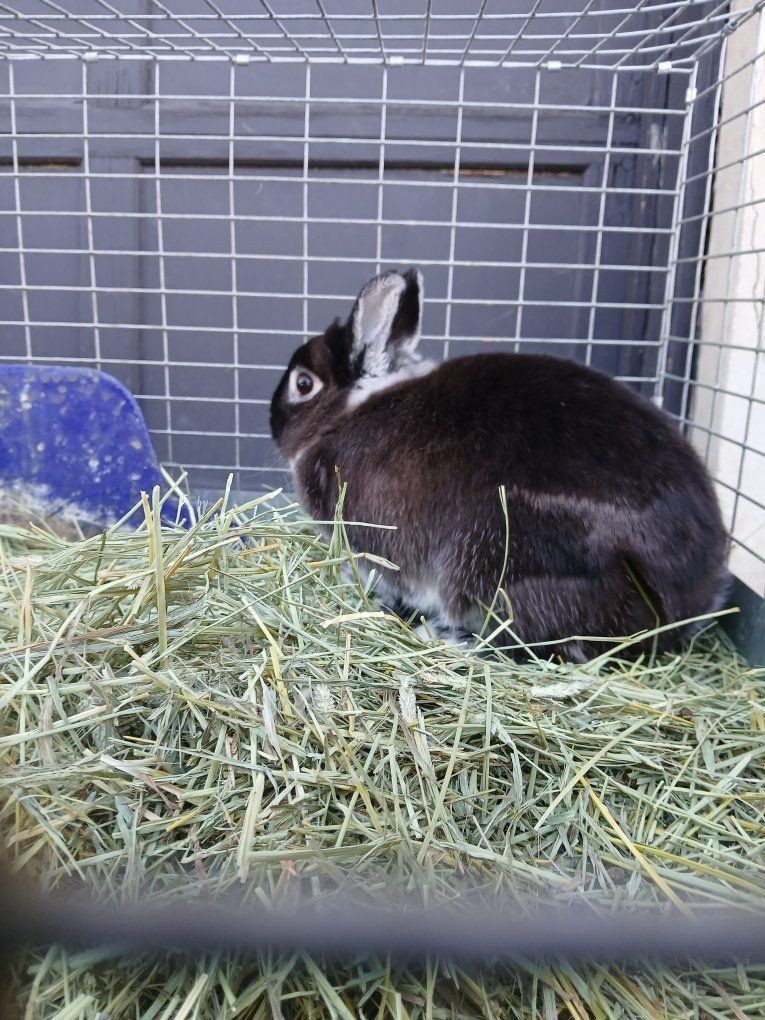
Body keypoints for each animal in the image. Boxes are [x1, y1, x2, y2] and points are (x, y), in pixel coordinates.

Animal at [270, 268, 729, 660]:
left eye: (303, 383)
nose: (271, 420)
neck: (352, 407)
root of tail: (685, 606)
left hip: (498, 559)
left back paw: (446, 637)